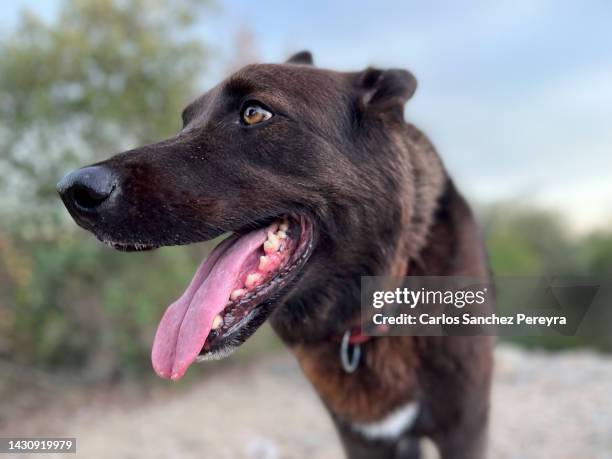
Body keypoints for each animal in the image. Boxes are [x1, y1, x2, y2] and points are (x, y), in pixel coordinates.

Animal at [58, 51, 492, 459]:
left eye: (254, 112)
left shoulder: (465, 430)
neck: (376, 308)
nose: (72, 190)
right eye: (185, 123)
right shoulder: (363, 439)